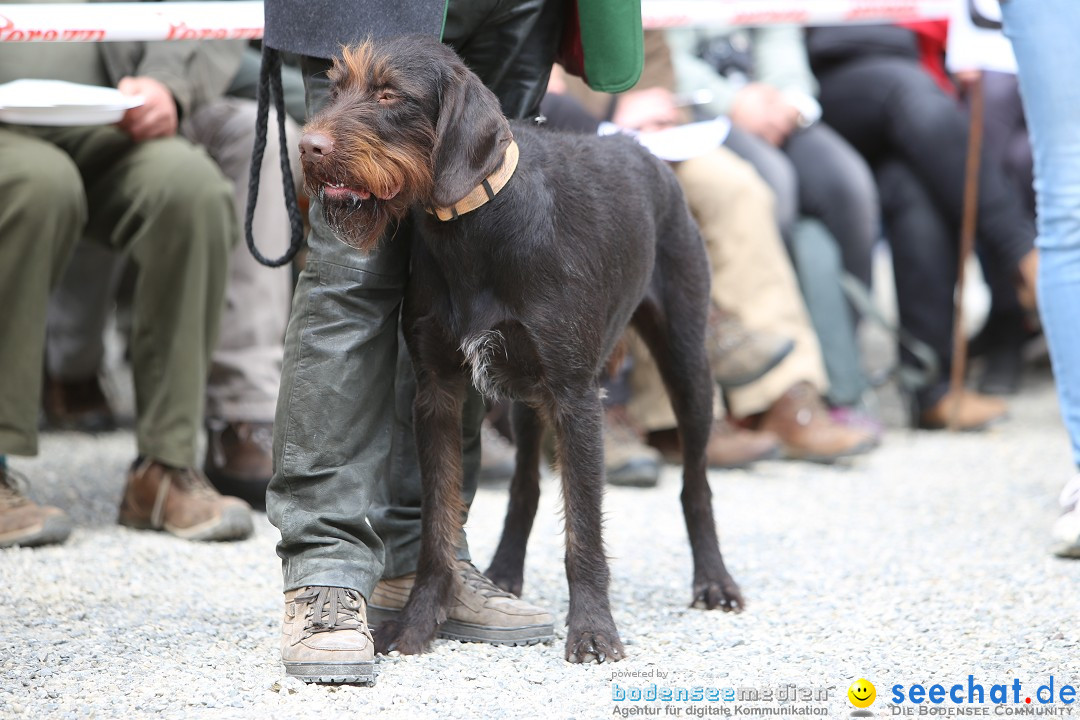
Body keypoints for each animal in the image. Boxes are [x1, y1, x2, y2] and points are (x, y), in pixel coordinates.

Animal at [302, 33, 743, 664]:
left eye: (389, 94)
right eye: (334, 88)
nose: (307, 147)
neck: (474, 225)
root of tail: (643, 148)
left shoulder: (576, 396)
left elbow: (584, 529)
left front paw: (593, 629)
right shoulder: (439, 392)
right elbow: (439, 526)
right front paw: (418, 622)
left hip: (685, 365)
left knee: (695, 483)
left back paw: (713, 580)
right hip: (524, 396)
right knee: (526, 486)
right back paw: (505, 572)